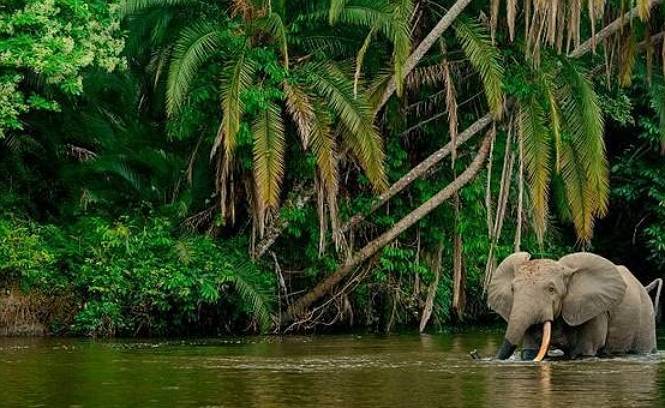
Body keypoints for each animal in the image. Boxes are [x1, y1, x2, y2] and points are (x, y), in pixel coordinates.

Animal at [488, 252, 660, 360]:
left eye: (551, 290)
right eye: (512, 289)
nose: (474, 354)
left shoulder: (594, 311)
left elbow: (584, 351)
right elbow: (530, 351)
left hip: (646, 317)